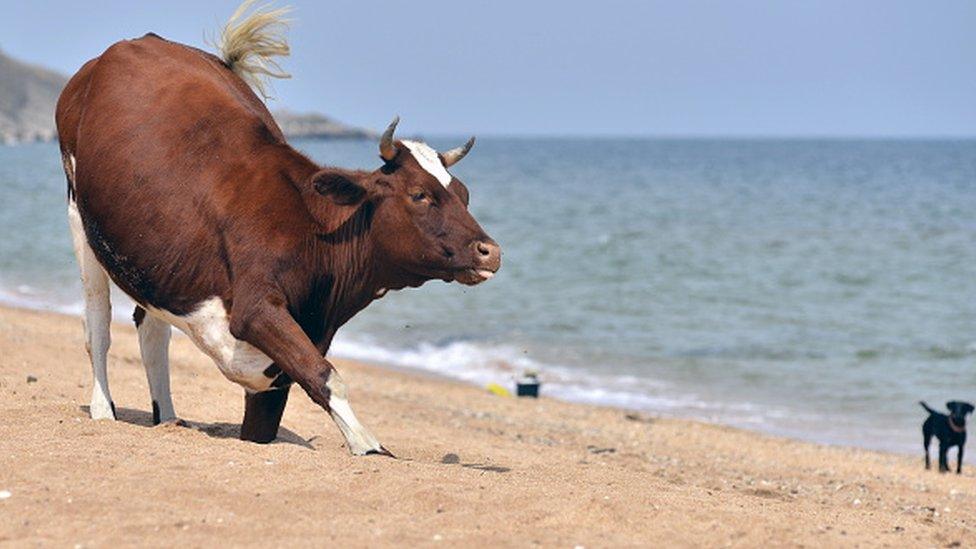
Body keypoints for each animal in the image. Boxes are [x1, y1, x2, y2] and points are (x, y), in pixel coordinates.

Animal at [54, 3, 500, 454]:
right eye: (419, 195)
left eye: (463, 194)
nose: (490, 251)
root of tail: (136, 43)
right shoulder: (256, 310)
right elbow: (325, 375)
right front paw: (370, 446)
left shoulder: (274, 373)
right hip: (80, 216)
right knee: (98, 324)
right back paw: (104, 410)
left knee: (151, 330)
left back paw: (169, 418)